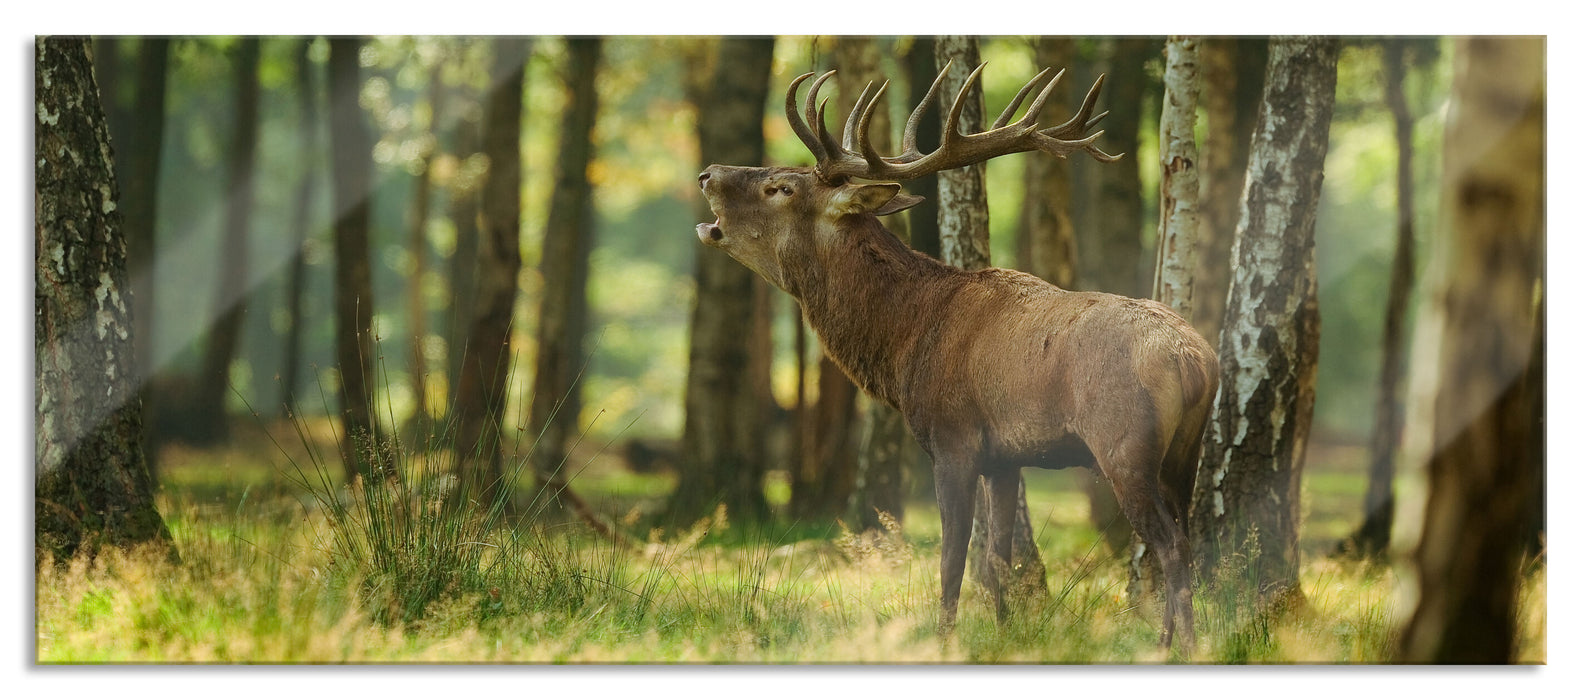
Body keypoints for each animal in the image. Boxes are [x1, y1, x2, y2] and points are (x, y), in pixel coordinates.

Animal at [694, 62, 1218, 650]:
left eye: (780, 187)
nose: (708, 173)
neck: (904, 344)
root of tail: (1196, 361)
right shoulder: (1006, 458)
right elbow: (997, 559)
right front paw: (1005, 634)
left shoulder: (953, 440)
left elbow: (952, 560)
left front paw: (943, 639)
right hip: (1185, 454)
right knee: (1187, 538)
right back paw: (1170, 641)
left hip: (1124, 445)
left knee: (1171, 544)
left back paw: (1180, 647)